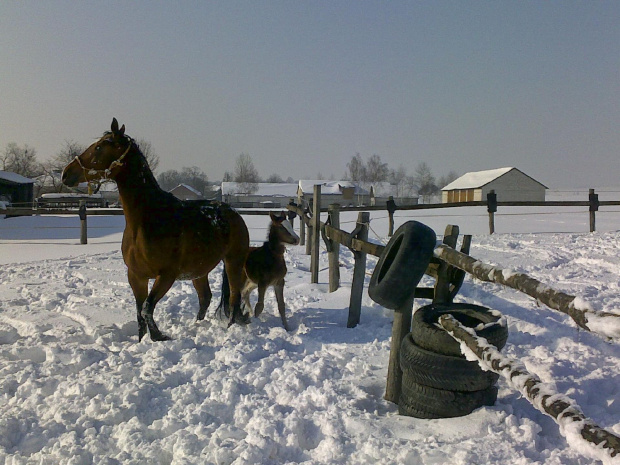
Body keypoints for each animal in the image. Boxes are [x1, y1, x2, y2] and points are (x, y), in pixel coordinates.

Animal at [61, 118, 248, 338]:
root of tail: (233, 213)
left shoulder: (166, 276)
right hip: (200, 270)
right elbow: (140, 313)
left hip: (233, 262)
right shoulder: (136, 276)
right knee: (205, 298)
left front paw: (160, 336)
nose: (66, 173)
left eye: (99, 147)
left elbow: (147, 308)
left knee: (234, 297)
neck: (146, 221)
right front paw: (145, 339)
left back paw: (230, 328)